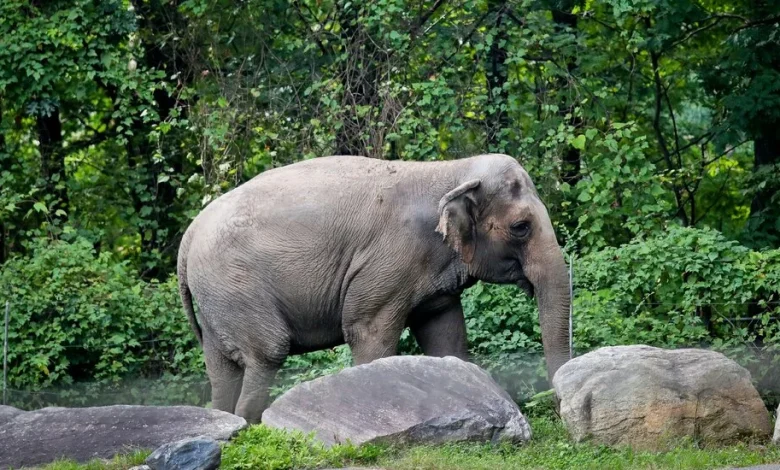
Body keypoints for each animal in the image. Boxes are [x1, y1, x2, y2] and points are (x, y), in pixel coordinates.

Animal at [177, 153, 571, 423]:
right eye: (521, 227)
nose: (557, 409)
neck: (451, 170)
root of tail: (189, 235)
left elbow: (446, 336)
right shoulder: (388, 263)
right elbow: (368, 333)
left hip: (216, 299)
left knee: (221, 368)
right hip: (236, 286)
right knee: (267, 353)